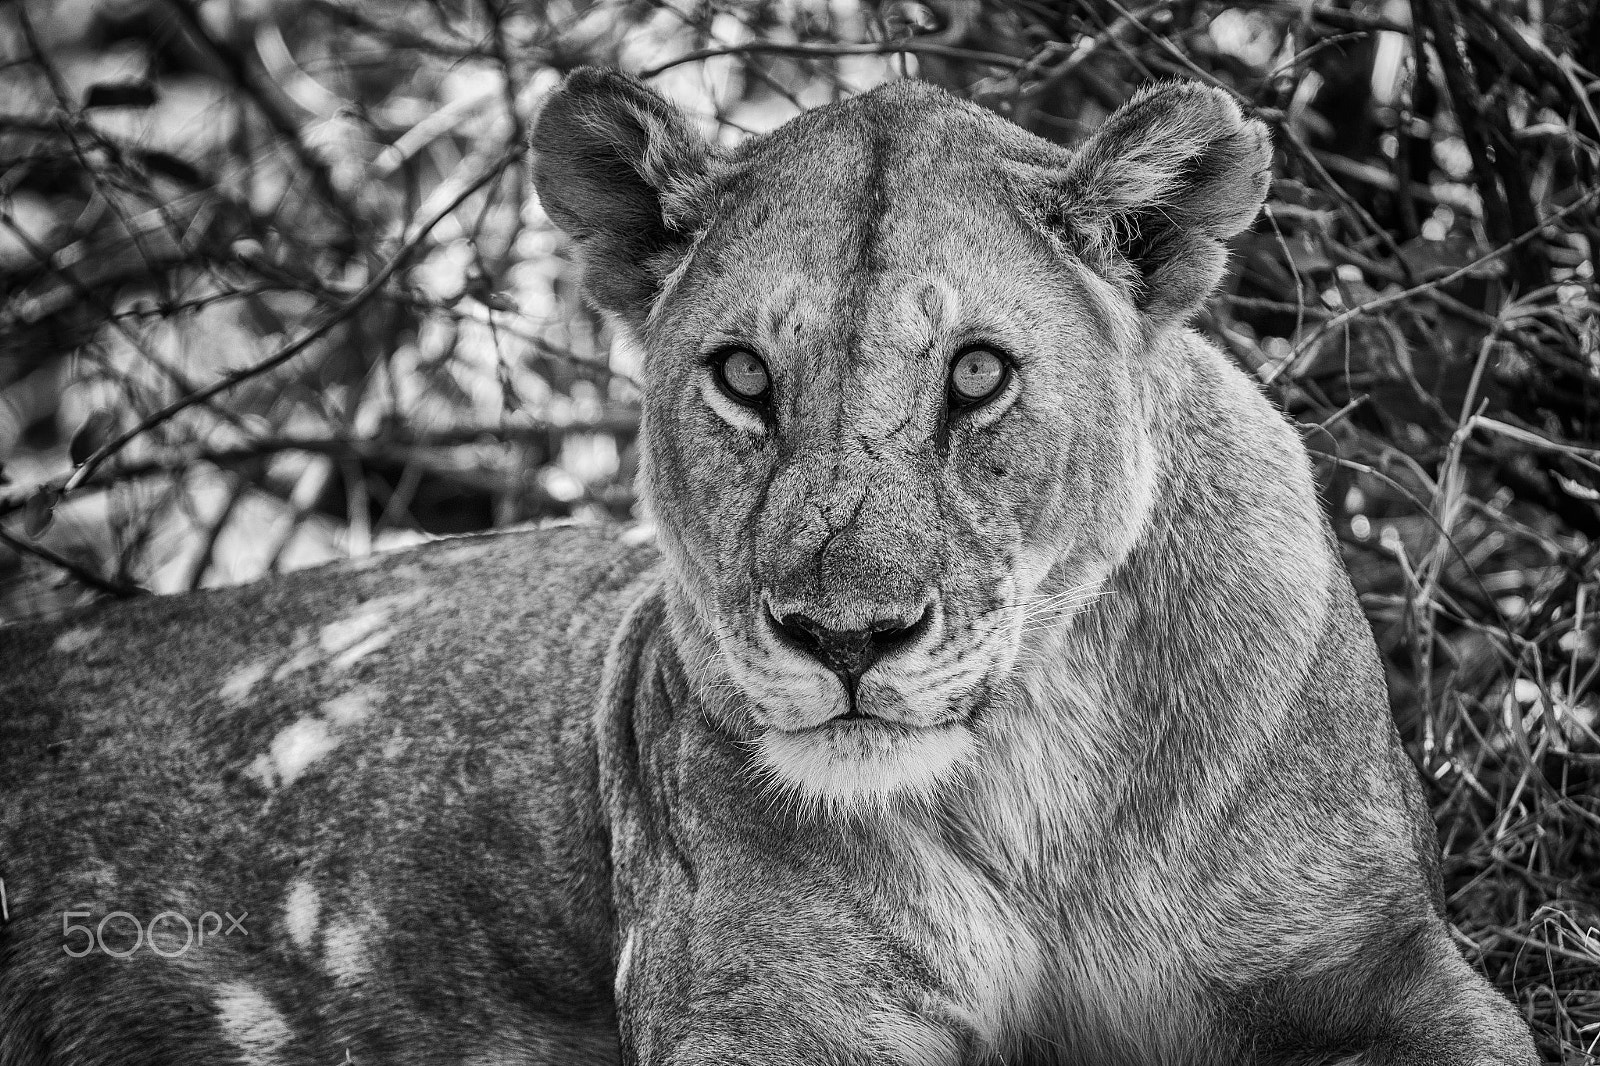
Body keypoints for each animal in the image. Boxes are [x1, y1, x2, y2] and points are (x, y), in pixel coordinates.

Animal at [0, 70, 1538, 1065]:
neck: (1036, 789)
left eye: (977, 373)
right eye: (742, 375)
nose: (843, 638)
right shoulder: (765, 1021)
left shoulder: (1382, 962)